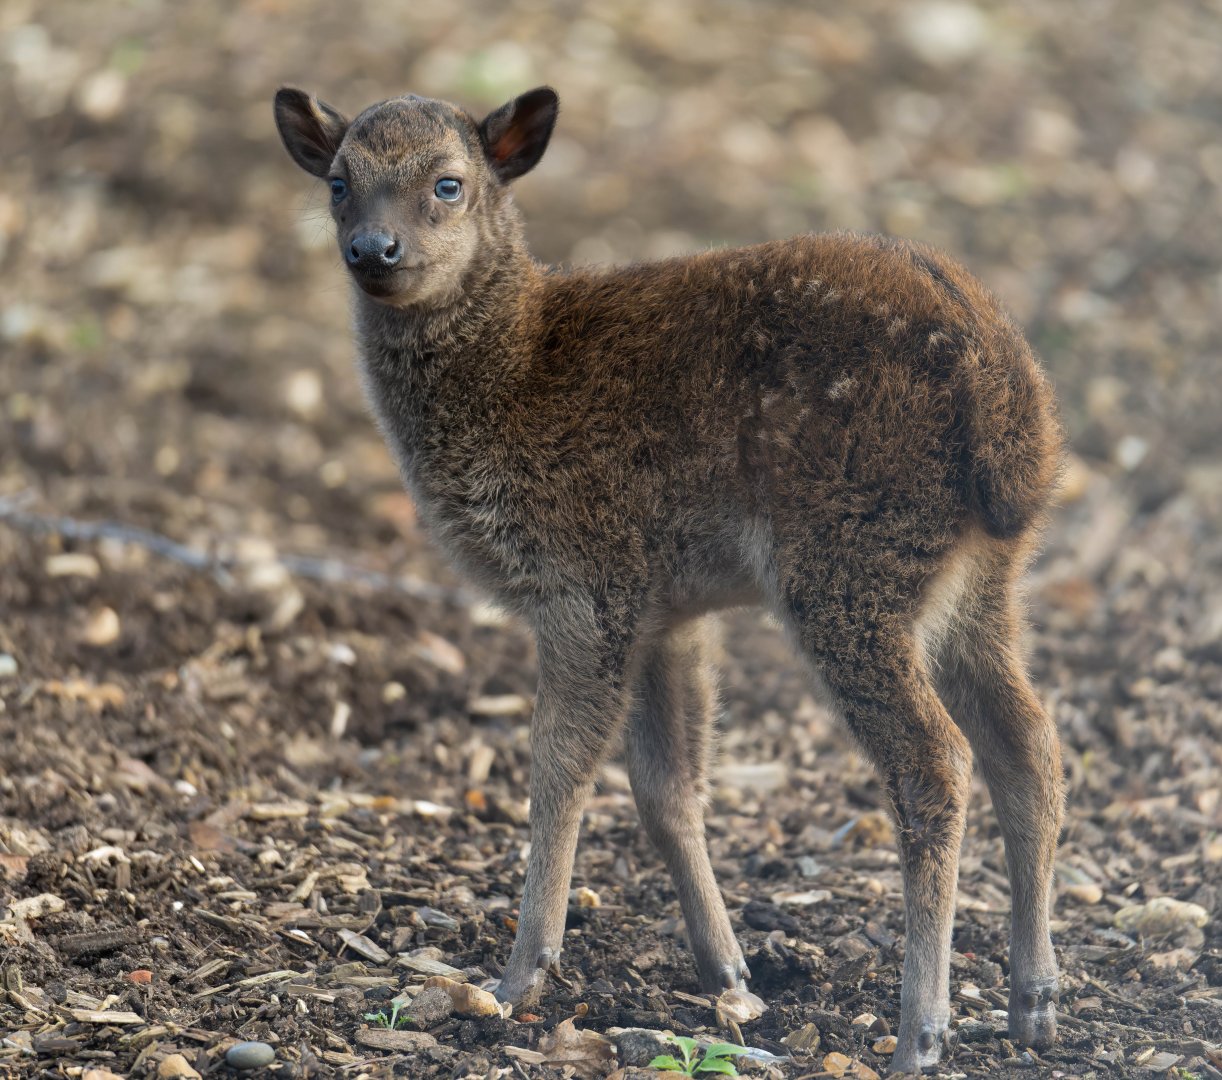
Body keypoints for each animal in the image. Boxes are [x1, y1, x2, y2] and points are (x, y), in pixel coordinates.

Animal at [274, 84, 1064, 1074]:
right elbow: (666, 786)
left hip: (851, 568)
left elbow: (560, 768)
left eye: (449, 183)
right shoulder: (668, 611)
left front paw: (519, 976)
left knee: (938, 762)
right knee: (1028, 742)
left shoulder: (585, 584)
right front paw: (730, 972)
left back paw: (922, 1029)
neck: (511, 371)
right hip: (982, 587)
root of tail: (1016, 426)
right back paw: (1034, 1002)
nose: (374, 250)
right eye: (339, 182)